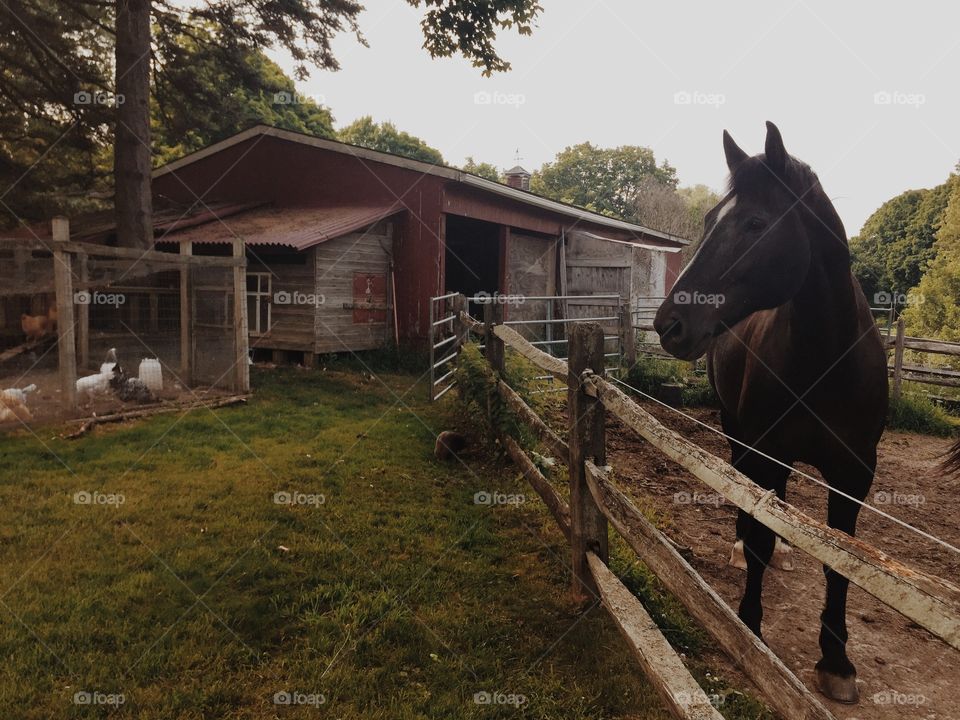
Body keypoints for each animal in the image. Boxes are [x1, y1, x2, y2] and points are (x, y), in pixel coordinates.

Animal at [656, 122, 888, 704]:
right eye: (710, 220)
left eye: (757, 223)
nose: (668, 323)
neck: (826, 359)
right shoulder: (766, 451)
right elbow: (759, 537)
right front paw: (749, 625)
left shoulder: (855, 474)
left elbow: (840, 565)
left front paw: (837, 662)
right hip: (739, 434)